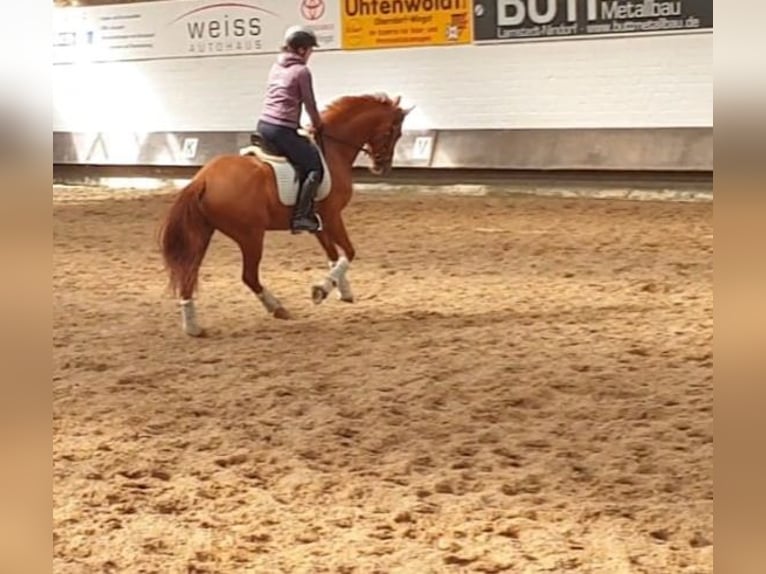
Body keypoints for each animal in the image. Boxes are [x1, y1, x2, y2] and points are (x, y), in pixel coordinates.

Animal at [158, 91, 414, 336]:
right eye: (394, 132)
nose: (382, 166)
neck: (334, 150)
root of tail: (202, 179)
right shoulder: (332, 216)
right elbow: (349, 253)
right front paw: (321, 290)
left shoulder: (318, 223)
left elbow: (333, 254)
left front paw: (342, 290)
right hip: (250, 236)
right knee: (249, 276)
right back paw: (278, 308)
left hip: (202, 234)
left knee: (189, 272)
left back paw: (192, 327)